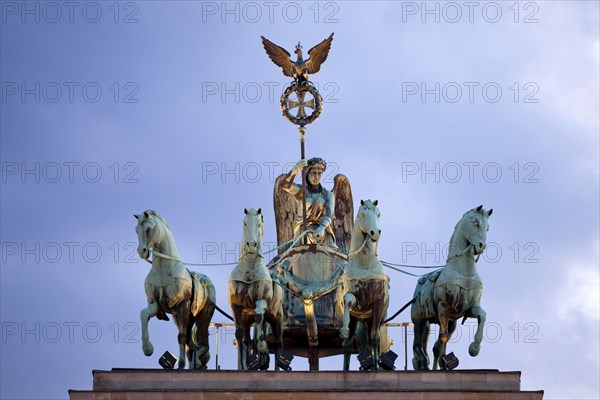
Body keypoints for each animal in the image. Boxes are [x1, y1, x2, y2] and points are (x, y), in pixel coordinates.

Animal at [134, 211, 216, 370]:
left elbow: (181, 337)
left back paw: (198, 358)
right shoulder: (155, 304)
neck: (164, 269)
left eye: (148, 229)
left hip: (202, 316)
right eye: (136, 230)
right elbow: (143, 314)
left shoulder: (182, 305)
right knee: (191, 344)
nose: (142, 251)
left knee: (202, 341)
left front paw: (181, 364)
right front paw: (147, 349)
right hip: (181, 317)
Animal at [230, 208, 286, 370]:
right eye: (244, 223)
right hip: (247, 319)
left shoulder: (261, 301)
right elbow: (240, 335)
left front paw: (263, 351)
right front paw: (244, 365)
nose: (251, 245)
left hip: (277, 318)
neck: (249, 269)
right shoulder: (235, 306)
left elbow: (259, 319)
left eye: (259, 224)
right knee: (247, 339)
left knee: (278, 343)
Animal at [336, 198, 392, 370]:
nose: (375, 233)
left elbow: (374, 338)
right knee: (347, 344)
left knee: (373, 340)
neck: (365, 263)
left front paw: (375, 367)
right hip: (358, 319)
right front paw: (344, 329)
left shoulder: (378, 302)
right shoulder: (355, 297)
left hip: (373, 319)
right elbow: (348, 302)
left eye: (378, 214)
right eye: (362, 214)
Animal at [410, 205, 494, 370]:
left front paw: (474, 348)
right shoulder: (443, 306)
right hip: (419, 319)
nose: (481, 246)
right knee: (417, 344)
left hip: (451, 322)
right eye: (476, 223)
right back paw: (421, 362)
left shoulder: (468, 308)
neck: (464, 272)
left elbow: (482, 316)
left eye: (488, 227)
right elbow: (442, 339)